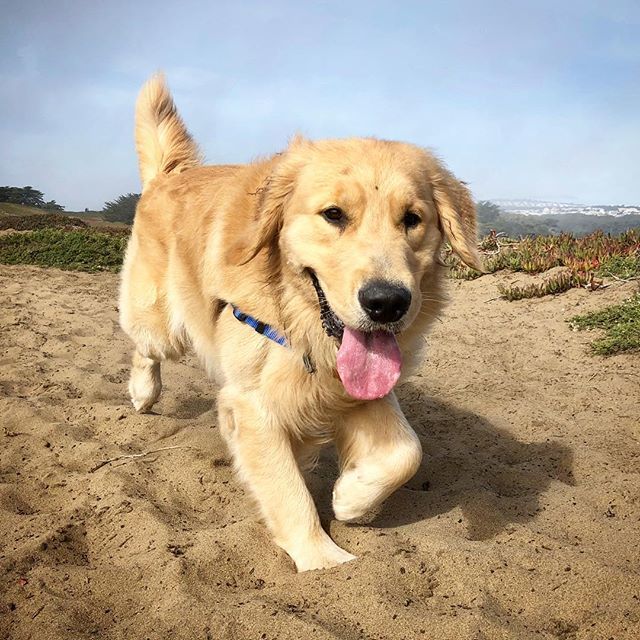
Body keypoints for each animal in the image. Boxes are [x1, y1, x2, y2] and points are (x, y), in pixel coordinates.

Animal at [119, 74, 480, 568]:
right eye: (333, 214)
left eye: (412, 219)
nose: (387, 303)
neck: (298, 322)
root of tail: (168, 176)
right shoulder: (253, 405)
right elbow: (288, 491)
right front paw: (323, 561)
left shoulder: (355, 390)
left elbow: (407, 452)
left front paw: (351, 498)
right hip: (162, 325)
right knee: (143, 346)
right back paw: (143, 392)